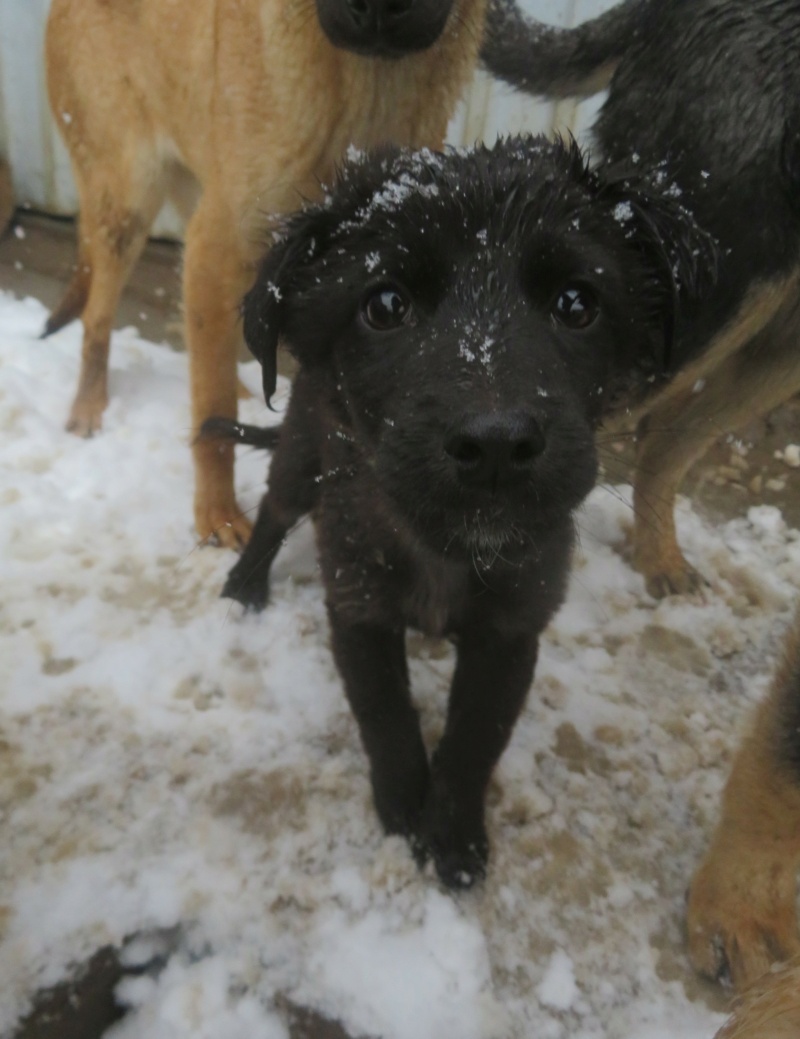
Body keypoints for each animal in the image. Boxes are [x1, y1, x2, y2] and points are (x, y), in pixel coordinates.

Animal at [45, 0, 486, 548]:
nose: (378, 9)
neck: (366, 79)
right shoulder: (218, 247)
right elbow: (214, 418)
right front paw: (218, 516)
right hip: (127, 204)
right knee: (99, 319)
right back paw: (89, 407)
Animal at [205, 136, 706, 885]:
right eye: (384, 304)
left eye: (576, 303)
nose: (496, 444)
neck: (446, 547)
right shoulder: (358, 605)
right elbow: (384, 714)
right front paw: (402, 806)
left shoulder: (513, 630)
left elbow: (476, 738)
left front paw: (451, 835)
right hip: (300, 455)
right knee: (273, 510)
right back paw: (245, 583)